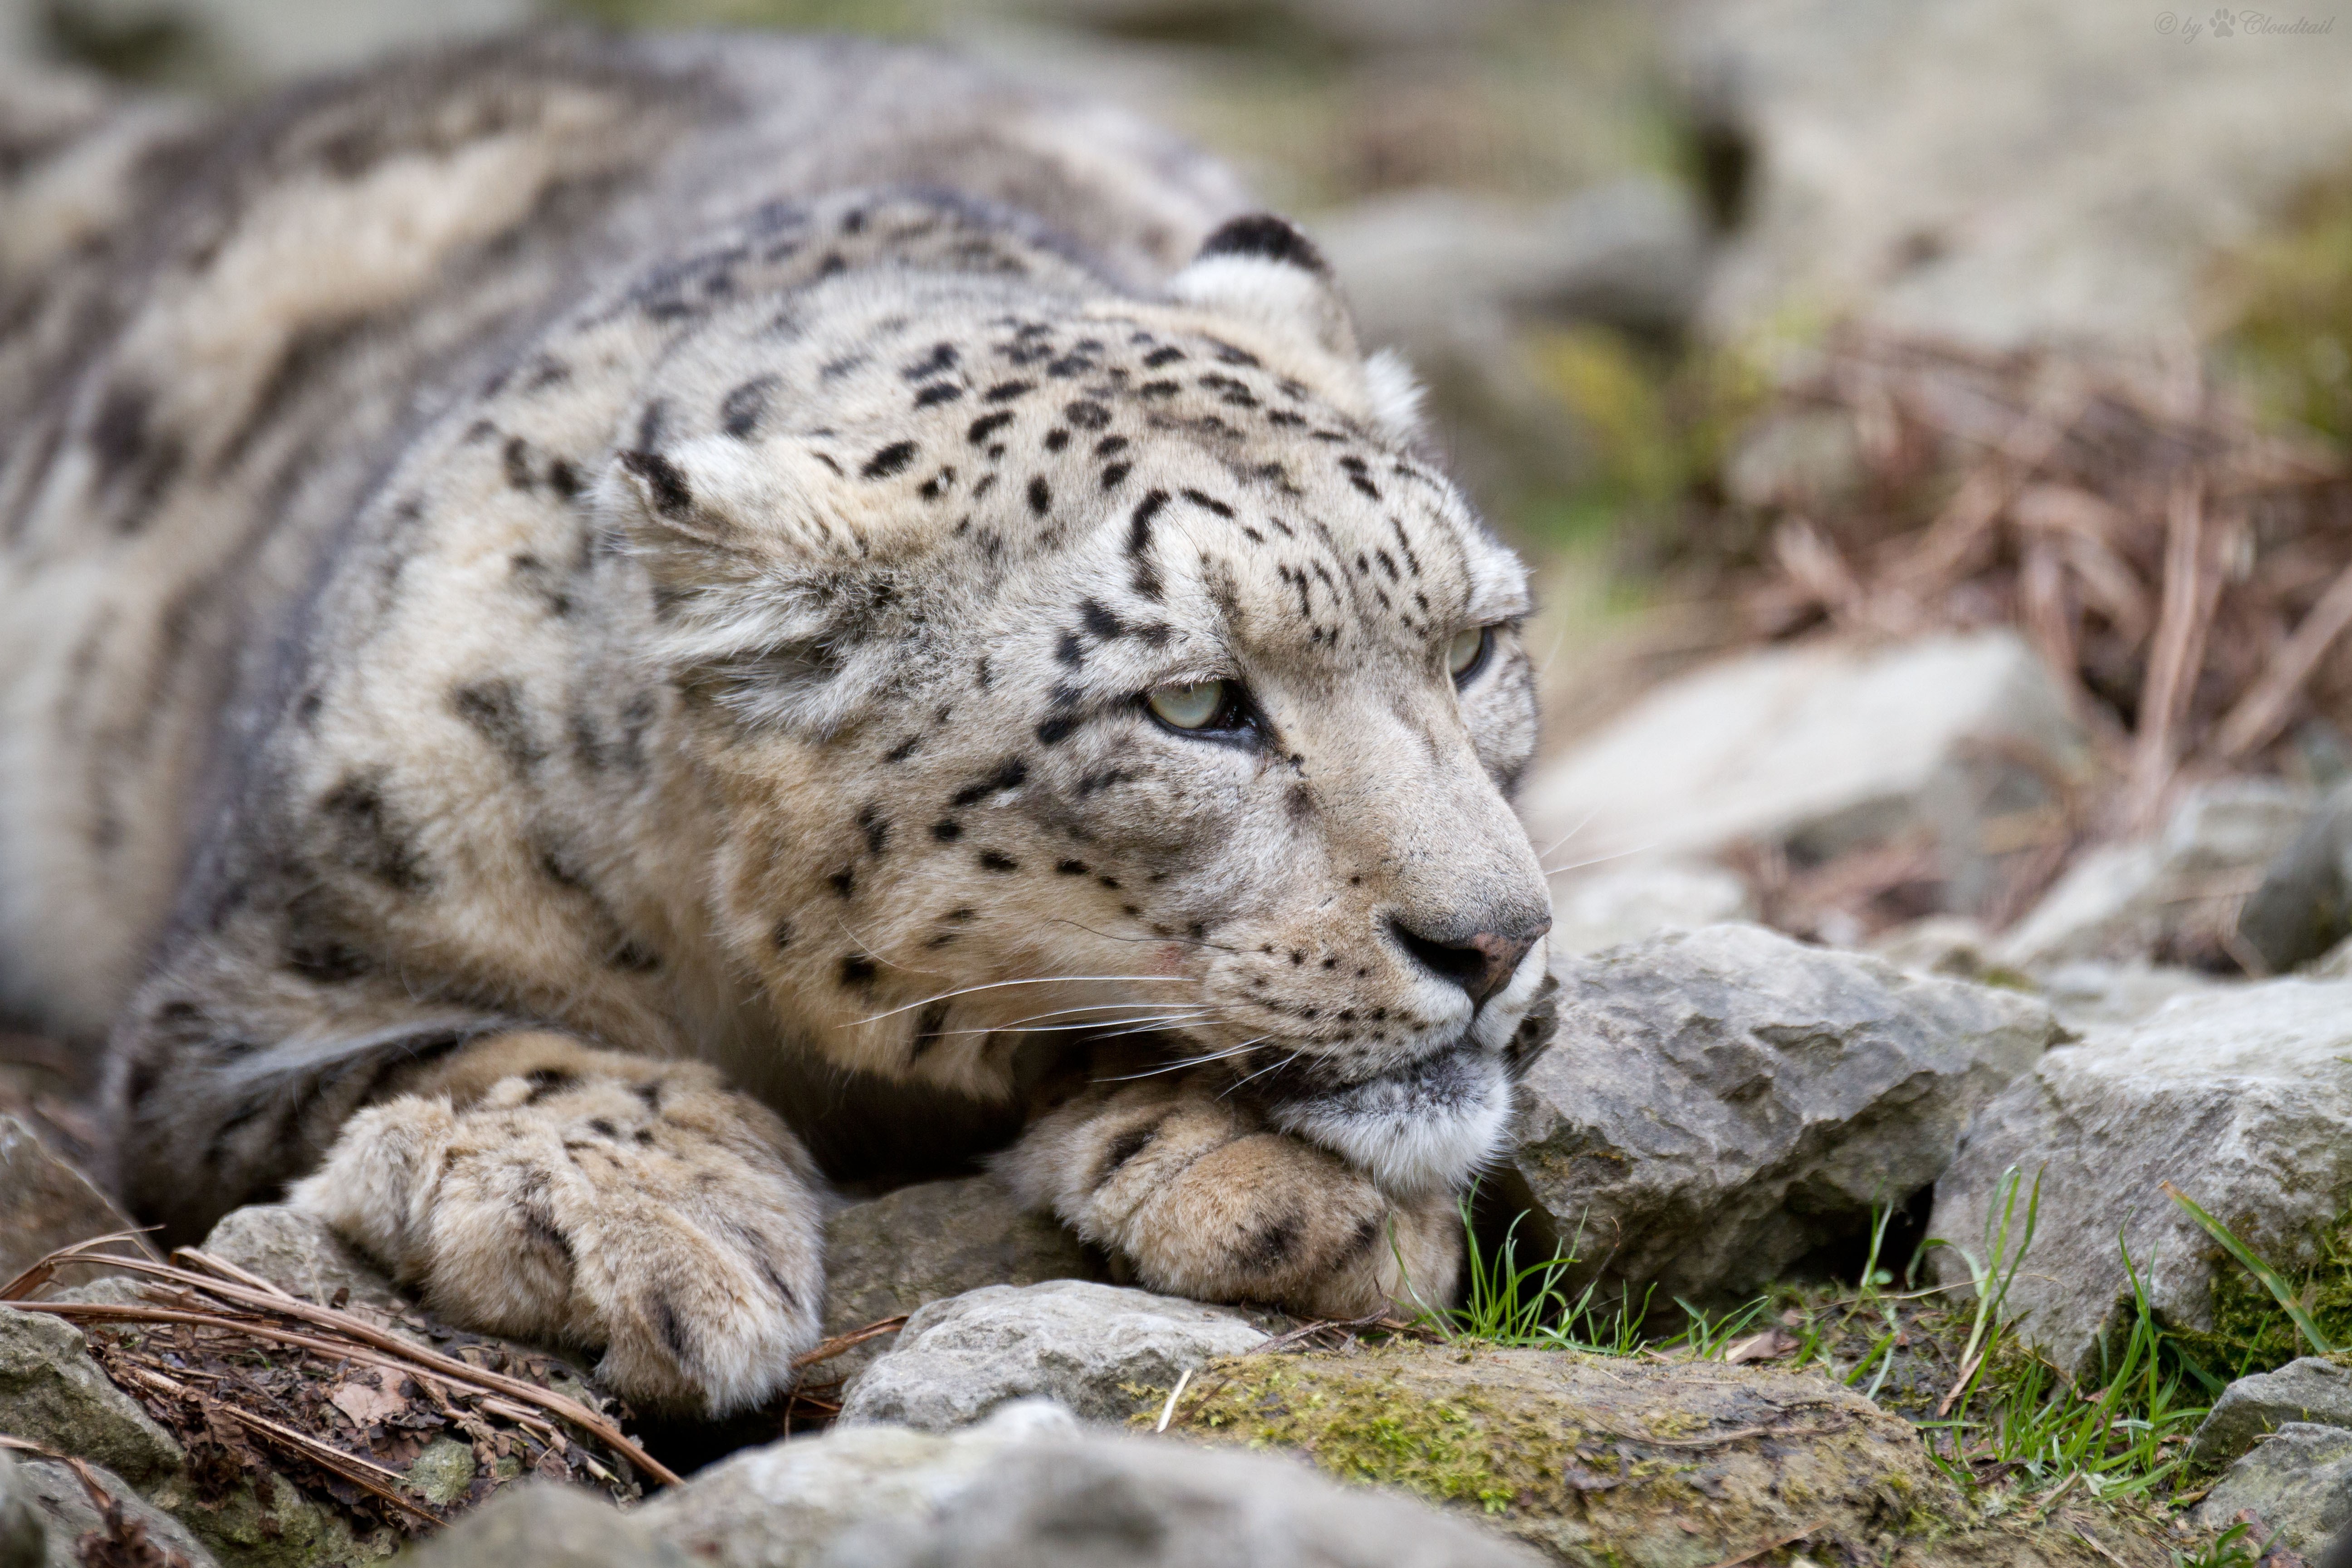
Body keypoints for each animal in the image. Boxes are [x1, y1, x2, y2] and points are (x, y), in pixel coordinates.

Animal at [0, 30, 1556, 1416]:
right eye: (1192, 703)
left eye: (1473, 644)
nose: (1496, 940)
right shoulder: (255, 996)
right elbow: (493, 1045)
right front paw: (627, 1215)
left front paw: (1278, 1183)